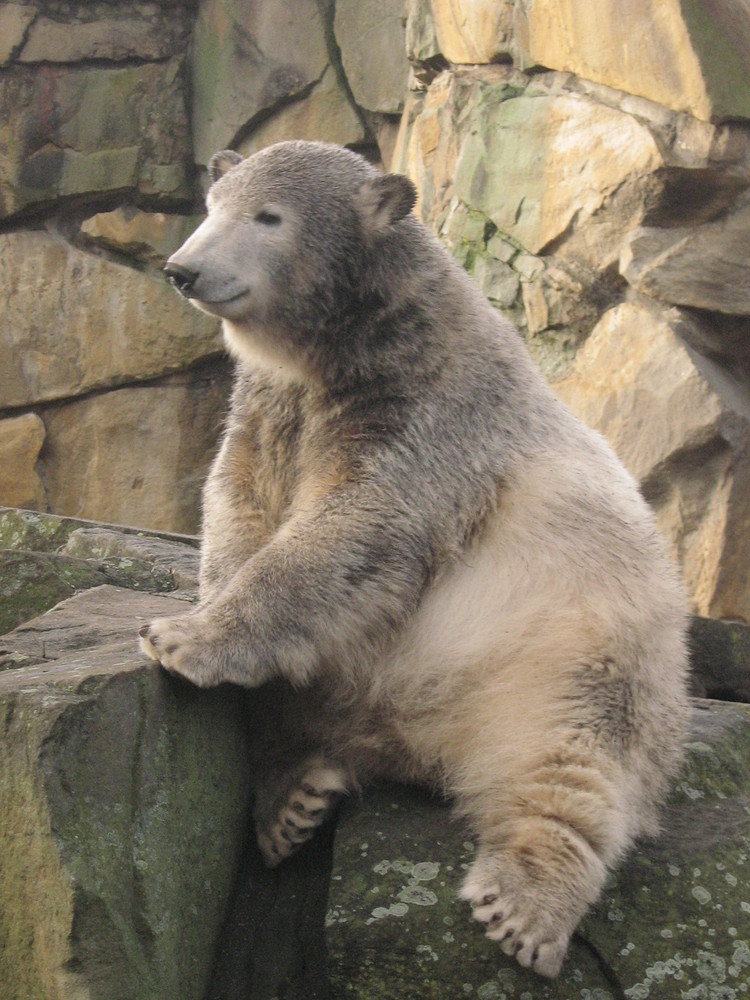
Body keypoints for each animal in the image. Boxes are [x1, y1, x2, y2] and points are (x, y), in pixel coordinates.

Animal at [138, 141, 692, 976]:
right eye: (212, 205)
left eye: (268, 217)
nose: (184, 270)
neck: (363, 336)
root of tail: (427, 738)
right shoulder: (272, 407)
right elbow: (238, 496)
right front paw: (204, 603)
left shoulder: (425, 410)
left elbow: (358, 525)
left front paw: (183, 638)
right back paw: (293, 800)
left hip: (586, 643)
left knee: (577, 754)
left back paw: (523, 903)